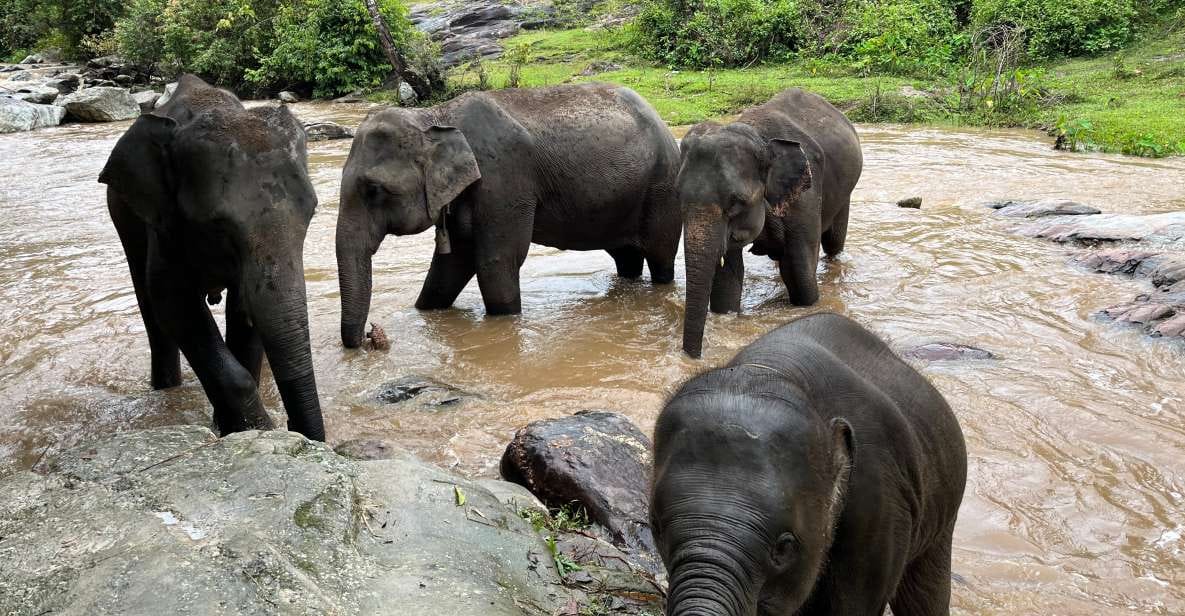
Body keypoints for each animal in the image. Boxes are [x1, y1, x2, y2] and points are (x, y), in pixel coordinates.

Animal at [99, 74, 325, 441]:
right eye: (218, 224)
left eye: (312, 212)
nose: (297, 430)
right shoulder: (165, 223)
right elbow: (173, 304)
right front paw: (255, 429)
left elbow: (244, 311)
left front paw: (233, 428)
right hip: (124, 211)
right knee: (149, 304)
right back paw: (164, 388)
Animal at [336, 83, 682, 348]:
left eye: (373, 190)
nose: (369, 337)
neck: (436, 115)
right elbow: (450, 265)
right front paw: (424, 312)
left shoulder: (503, 180)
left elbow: (496, 262)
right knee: (626, 258)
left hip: (661, 188)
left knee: (661, 257)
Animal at [678, 88, 863, 357]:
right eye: (677, 196)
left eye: (736, 202)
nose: (693, 358)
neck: (758, 137)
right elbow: (727, 278)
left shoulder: (805, 199)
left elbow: (800, 273)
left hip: (844, 193)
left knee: (833, 243)